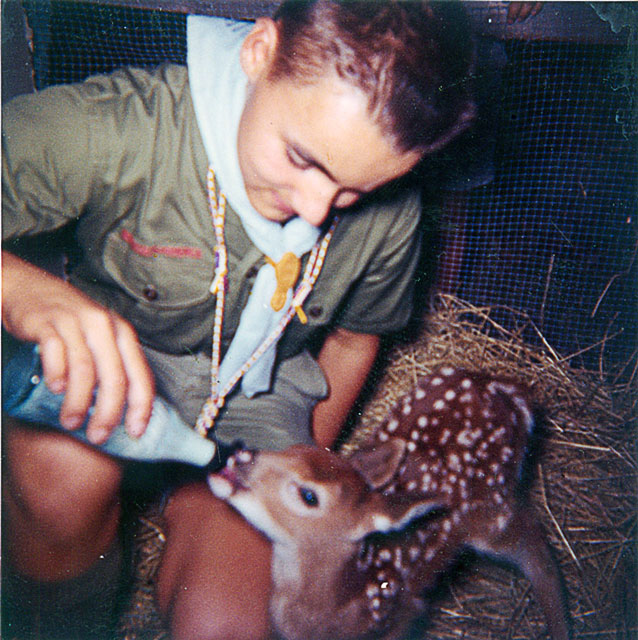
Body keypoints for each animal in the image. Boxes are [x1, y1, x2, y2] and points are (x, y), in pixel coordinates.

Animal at [207, 366, 570, 640]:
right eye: (292, 449)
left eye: (309, 496)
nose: (241, 456)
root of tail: (508, 390)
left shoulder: (404, 616)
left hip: (491, 507)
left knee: (534, 544)